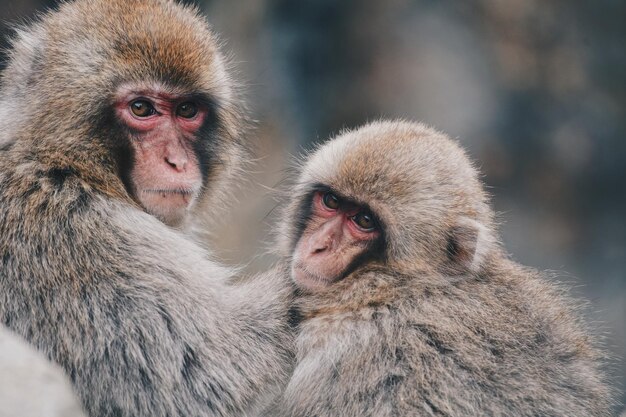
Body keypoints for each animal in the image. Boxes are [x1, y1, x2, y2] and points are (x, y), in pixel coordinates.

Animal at [0, 0, 294, 416]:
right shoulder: (78, 241)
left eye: (187, 110)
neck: (62, 165)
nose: (177, 162)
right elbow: (198, 384)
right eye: (142, 108)